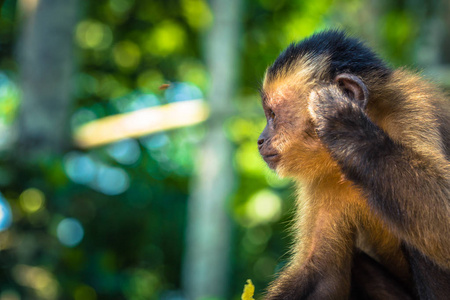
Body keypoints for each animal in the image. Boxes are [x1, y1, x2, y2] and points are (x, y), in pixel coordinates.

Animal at [258, 29, 450, 298]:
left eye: (272, 115)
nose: (260, 140)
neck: (375, 118)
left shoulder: (413, 107)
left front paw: (345, 124)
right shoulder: (322, 175)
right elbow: (321, 274)